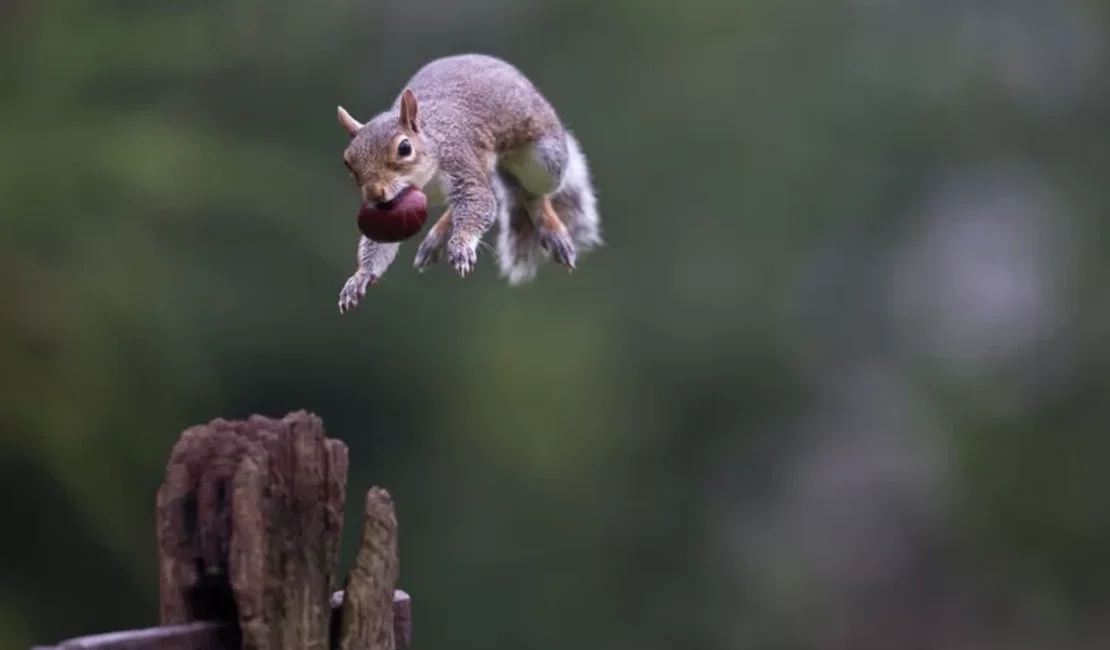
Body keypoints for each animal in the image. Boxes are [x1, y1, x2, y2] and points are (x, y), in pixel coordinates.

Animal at [335, 53, 603, 310]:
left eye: (404, 148)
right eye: (348, 161)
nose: (374, 194)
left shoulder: (461, 163)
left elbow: (478, 202)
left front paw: (462, 244)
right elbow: (378, 244)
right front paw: (360, 276)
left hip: (546, 160)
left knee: (533, 195)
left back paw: (550, 227)